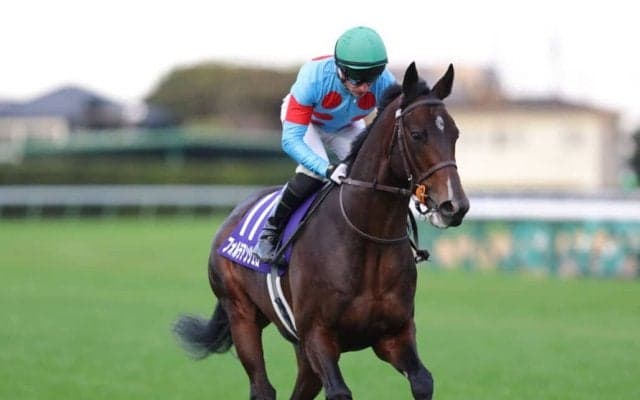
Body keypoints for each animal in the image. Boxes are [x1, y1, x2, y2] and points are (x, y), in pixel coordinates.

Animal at [174, 62, 469, 400]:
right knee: (262, 387)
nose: (454, 205)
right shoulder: (318, 335)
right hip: (242, 316)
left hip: (300, 350)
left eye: (455, 134)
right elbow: (339, 391)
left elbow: (423, 381)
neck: (368, 238)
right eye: (417, 134)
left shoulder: (394, 334)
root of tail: (232, 217)